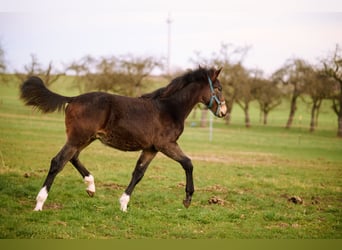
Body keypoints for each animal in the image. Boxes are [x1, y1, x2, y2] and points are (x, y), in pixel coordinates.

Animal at [20, 66, 226, 211]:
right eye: (218, 88)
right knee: (58, 162)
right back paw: (39, 203)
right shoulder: (166, 144)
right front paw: (188, 199)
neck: (169, 108)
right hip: (78, 138)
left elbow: (138, 173)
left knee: (73, 157)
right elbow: (188, 163)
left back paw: (91, 187)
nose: (223, 111)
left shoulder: (151, 149)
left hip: (85, 138)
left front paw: (123, 204)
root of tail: (73, 99)